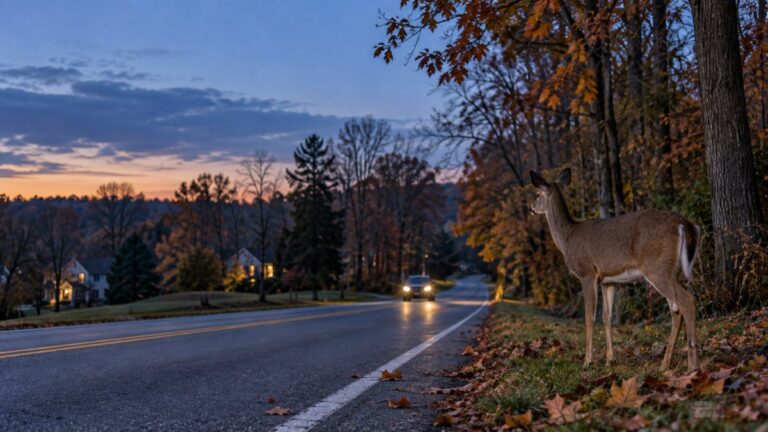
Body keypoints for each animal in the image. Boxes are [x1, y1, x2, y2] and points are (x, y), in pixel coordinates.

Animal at [529, 168, 701, 372]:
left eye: (537, 194)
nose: (531, 208)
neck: (567, 238)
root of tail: (684, 223)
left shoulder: (587, 273)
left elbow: (589, 317)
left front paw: (588, 361)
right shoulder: (608, 281)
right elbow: (607, 317)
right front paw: (610, 359)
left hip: (656, 268)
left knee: (687, 300)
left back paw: (692, 366)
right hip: (671, 270)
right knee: (676, 311)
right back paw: (665, 364)